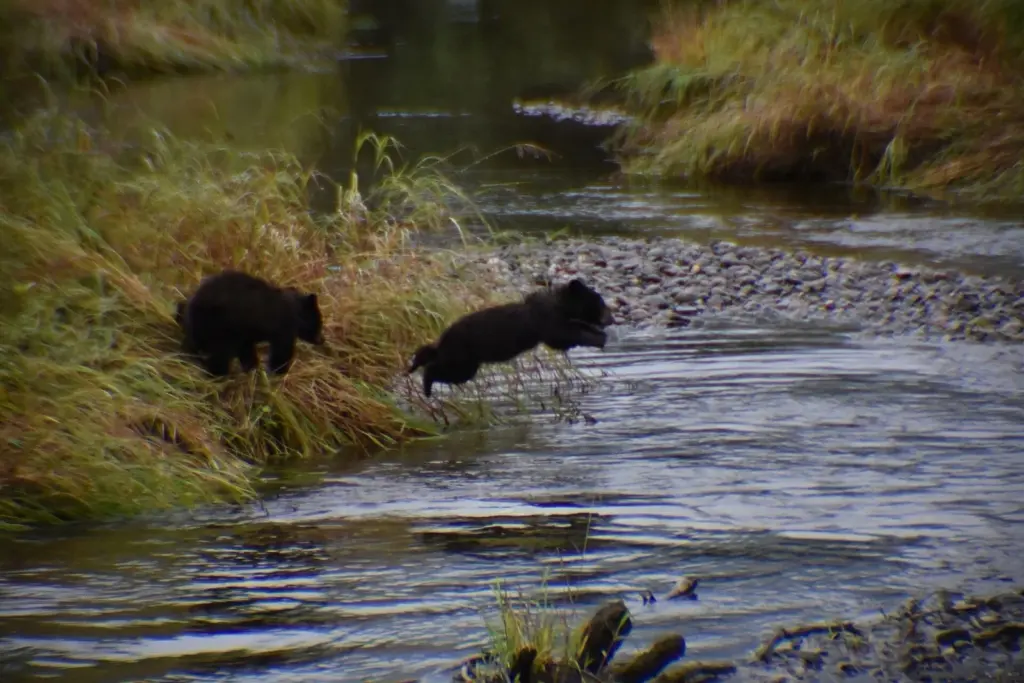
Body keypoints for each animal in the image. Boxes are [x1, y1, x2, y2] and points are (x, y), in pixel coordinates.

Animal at [176, 270, 325, 377]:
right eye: (319, 321)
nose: (322, 340)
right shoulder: (283, 328)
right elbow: (282, 352)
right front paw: (277, 372)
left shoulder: (245, 334)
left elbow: (247, 351)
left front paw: (253, 368)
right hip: (218, 325)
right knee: (221, 353)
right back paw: (219, 374)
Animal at [407, 278, 614, 397]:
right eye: (601, 302)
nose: (612, 319)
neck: (560, 305)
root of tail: (443, 339)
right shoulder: (545, 319)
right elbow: (560, 336)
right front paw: (597, 338)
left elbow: (573, 328)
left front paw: (599, 334)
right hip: (462, 354)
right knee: (444, 369)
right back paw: (426, 384)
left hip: (467, 360)